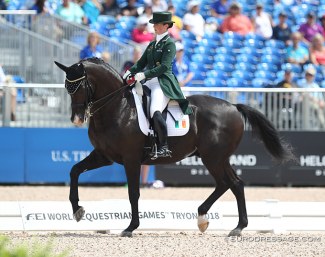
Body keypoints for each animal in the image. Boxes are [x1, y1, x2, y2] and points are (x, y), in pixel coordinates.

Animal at [53, 57, 294, 236]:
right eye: (67, 87)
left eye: (80, 86)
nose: (76, 119)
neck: (118, 107)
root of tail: (233, 107)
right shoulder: (104, 156)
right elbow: (74, 170)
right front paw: (77, 210)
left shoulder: (131, 159)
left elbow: (133, 193)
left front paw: (130, 228)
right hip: (217, 158)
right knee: (234, 184)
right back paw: (228, 224)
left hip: (213, 158)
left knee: (228, 183)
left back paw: (219, 222)